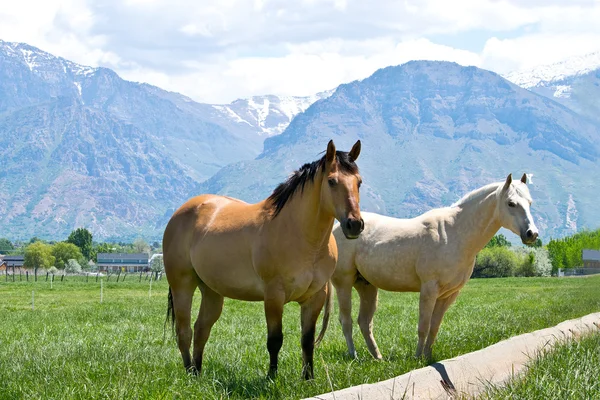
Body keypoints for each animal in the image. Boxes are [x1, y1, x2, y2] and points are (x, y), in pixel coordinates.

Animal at [162, 139, 364, 380]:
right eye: (332, 181)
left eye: (359, 182)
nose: (355, 224)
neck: (303, 238)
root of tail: (181, 212)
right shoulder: (274, 296)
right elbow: (275, 340)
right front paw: (271, 378)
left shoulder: (315, 297)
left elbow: (307, 341)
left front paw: (308, 378)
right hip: (182, 285)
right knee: (184, 331)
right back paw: (189, 374)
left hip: (211, 291)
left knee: (201, 329)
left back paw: (198, 373)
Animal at [328, 173, 540, 360]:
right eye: (511, 203)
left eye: (530, 202)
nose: (532, 234)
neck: (454, 232)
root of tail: (339, 228)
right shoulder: (429, 289)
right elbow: (423, 326)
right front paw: (417, 358)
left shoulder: (448, 294)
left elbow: (434, 327)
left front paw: (428, 357)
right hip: (344, 284)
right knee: (346, 321)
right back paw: (353, 355)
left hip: (367, 286)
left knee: (365, 323)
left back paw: (378, 357)